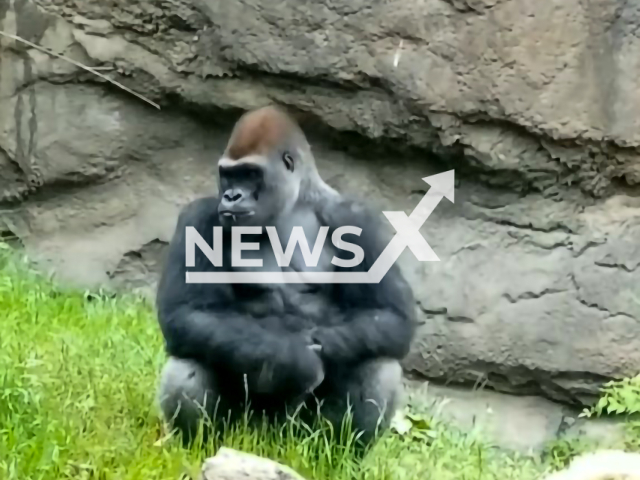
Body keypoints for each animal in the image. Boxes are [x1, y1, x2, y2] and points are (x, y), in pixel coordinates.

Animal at [154, 105, 416, 446]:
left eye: (250, 173)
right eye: (228, 174)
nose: (231, 196)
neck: (292, 207)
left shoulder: (360, 220)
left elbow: (391, 317)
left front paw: (316, 346)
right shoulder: (197, 217)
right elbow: (188, 312)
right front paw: (298, 360)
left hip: (299, 435)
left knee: (378, 363)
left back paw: (340, 452)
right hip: (246, 430)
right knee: (187, 362)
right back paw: (199, 444)